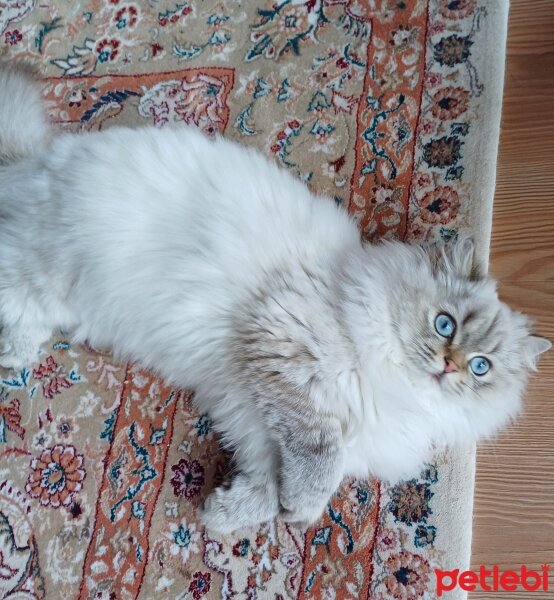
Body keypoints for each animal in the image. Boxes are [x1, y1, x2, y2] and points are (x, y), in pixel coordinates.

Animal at [0, 63, 548, 532]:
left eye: (481, 368)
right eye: (444, 324)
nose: (448, 367)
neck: (396, 388)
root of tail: (35, 162)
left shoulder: (256, 410)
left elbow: (271, 482)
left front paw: (226, 515)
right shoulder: (287, 360)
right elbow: (320, 457)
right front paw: (296, 509)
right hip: (46, 265)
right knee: (20, 298)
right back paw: (13, 355)